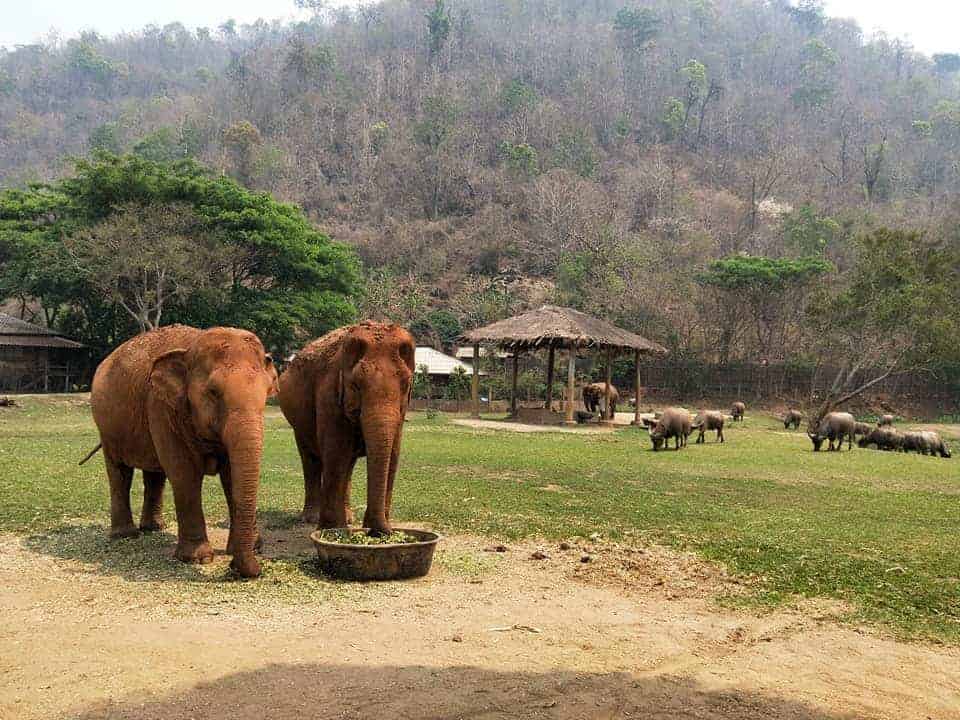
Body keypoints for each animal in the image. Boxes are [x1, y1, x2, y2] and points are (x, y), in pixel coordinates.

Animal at [87, 325, 278, 578]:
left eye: (267, 392)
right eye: (213, 392)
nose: (234, 568)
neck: (193, 345)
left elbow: (230, 476)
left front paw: (243, 549)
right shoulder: (161, 406)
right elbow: (183, 472)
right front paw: (197, 559)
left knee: (154, 474)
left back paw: (154, 528)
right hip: (107, 426)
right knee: (120, 472)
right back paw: (125, 536)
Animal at [278, 321, 416, 535]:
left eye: (405, 386)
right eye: (357, 386)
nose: (384, 531)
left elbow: (393, 454)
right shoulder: (329, 394)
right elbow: (336, 451)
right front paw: (334, 531)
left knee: (348, 464)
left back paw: (349, 518)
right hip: (298, 423)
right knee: (311, 459)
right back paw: (310, 519)